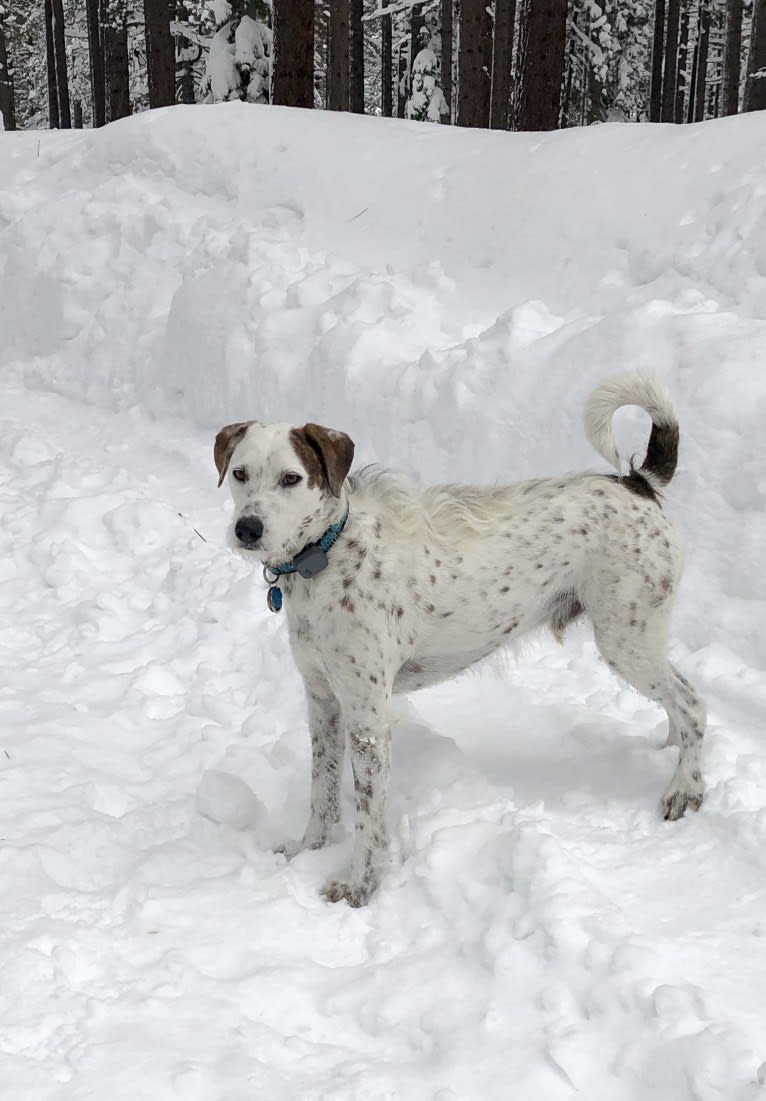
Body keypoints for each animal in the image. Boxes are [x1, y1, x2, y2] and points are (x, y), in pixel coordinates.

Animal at [215, 374, 704, 907]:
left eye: (291, 479)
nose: (247, 529)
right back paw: (671, 748)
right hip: (639, 637)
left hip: (626, 638)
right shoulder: (323, 700)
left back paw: (686, 788)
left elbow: (368, 815)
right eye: (239, 474)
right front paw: (308, 849)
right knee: (677, 699)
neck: (327, 554)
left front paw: (358, 885)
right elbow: (320, 791)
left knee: (692, 702)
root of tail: (640, 484)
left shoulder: (368, 719)